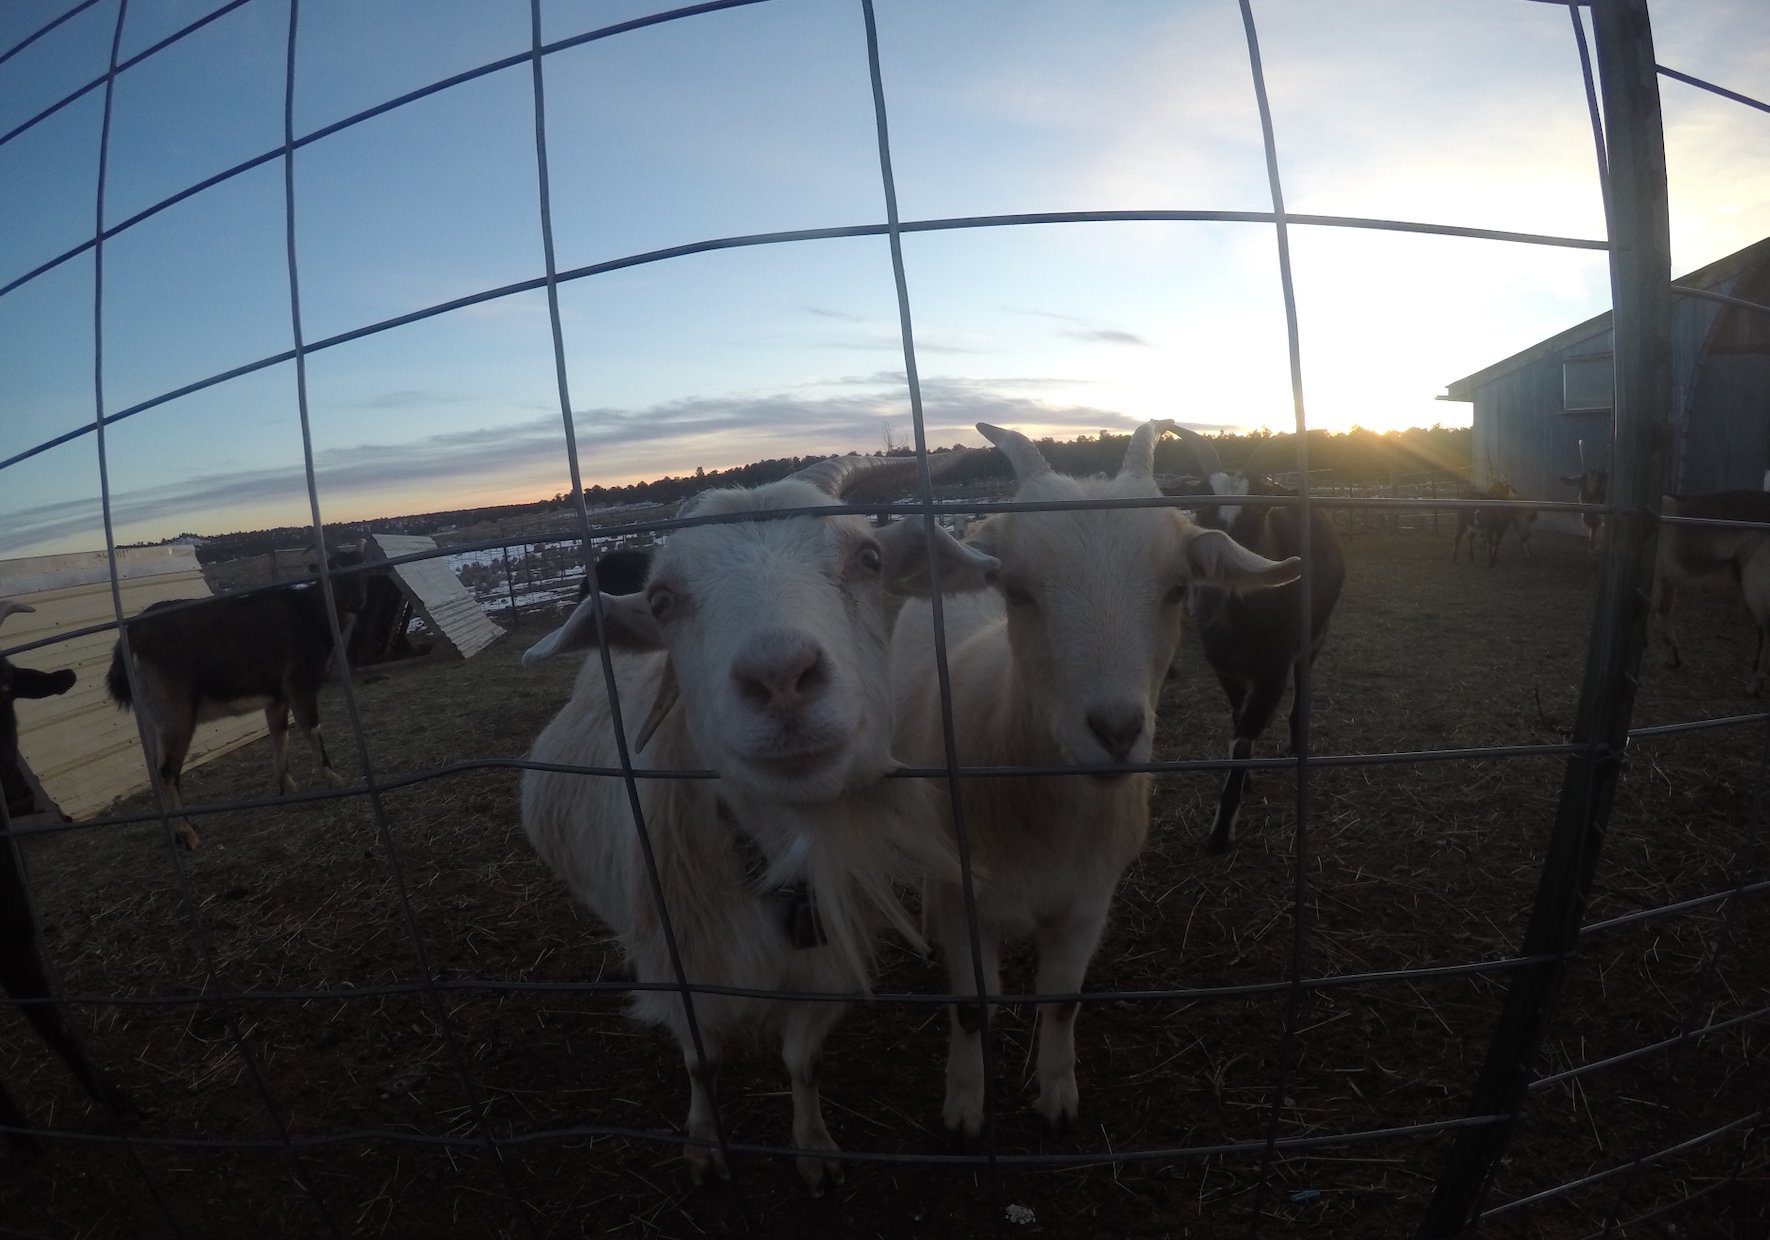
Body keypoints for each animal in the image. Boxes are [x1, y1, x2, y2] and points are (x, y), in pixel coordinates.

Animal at [105, 548, 367, 850]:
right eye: (333, 568)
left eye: (363, 568)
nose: (358, 601)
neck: (312, 613)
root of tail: (130, 639)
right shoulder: (300, 685)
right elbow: (312, 728)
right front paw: (335, 779)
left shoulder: (277, 697)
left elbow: (279, 734)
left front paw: (286, 786)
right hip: (174, 713)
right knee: (167, 771)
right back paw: (187, 834)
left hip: (150, 718)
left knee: (155, 771)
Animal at [520, 454, 997, 1193]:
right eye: (663, 600)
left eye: (869, 557)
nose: (780, 677)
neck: (772, 855)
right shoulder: (676, 962)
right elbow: (700, 1060)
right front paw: (703, 1144)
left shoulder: (823, 961)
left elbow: (802, 1062)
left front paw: (815, 1150)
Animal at [891, 421, 1301, 1140]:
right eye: (1016, 590)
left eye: (1177, 590)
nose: (1116, 732)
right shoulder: (963, 901)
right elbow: (971, 1007)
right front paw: (965, 1106)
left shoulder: (1088, 900)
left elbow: (1060, 1002)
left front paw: (1056, 1096)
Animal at [1169, 428, 1347, 854]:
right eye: (1199, 508)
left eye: (1258, 511)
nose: (1209, 594)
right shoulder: (1226, 668)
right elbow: (1237, 722)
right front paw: (1244, 781)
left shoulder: (1272, 671)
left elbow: (1245, 734)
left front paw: (1221, 832)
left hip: (1314, 637)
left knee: (1303, 685)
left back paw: (1297, 743)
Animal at [1652, 490, 1770, 694]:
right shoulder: (1668, 580)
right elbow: (1664, 611)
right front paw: (1673, 657)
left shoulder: (1656, 577)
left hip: (1756, 582)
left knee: (1765, 632)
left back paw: (1754, 684)